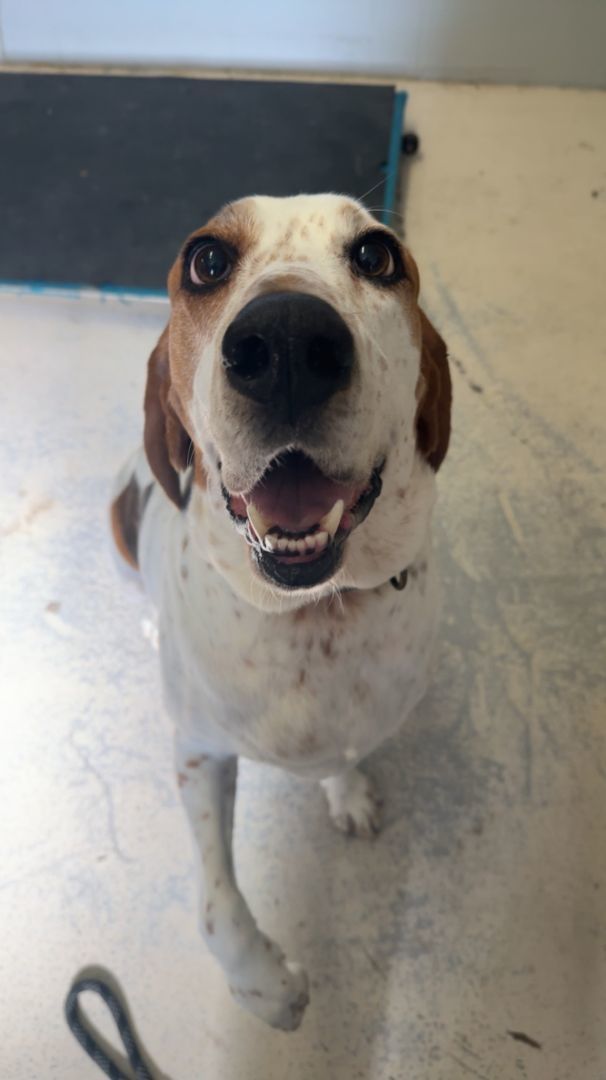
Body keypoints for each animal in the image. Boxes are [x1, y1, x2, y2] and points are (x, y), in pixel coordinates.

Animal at [109, 192, 449, 1028]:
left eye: (376, 256)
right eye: (207, 261)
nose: (288, 340)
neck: (315, 615)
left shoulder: (365, 715)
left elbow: (348, 754)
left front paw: (347, 793)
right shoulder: (198, 753)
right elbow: (217, 907)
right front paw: (269, 988)